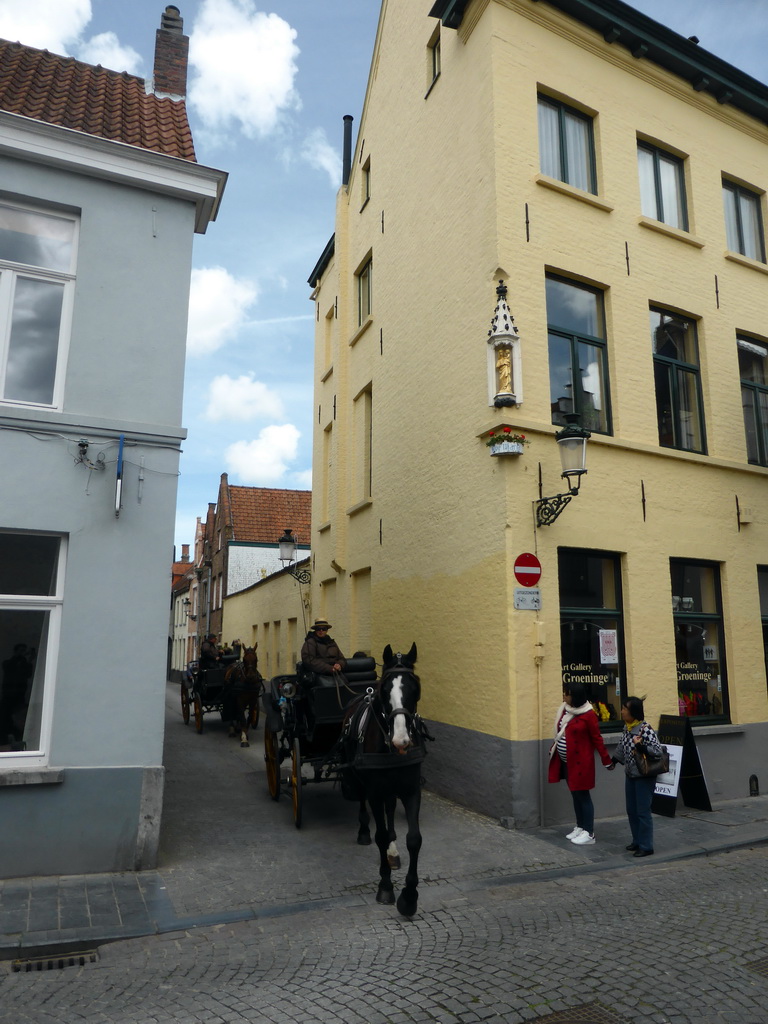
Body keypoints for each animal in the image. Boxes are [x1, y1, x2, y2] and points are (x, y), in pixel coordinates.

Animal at [342, 643, 430, 917]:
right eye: (385, 689)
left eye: (415, 687)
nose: (401, 740)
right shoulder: (375, 791)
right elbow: (379, 835)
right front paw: (386, 887)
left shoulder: (411, 790)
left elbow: (414, 839)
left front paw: (409, 897)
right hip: (361, 781)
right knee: (363, 804)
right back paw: (363, 831)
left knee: (390, 810)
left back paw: (393, 850)